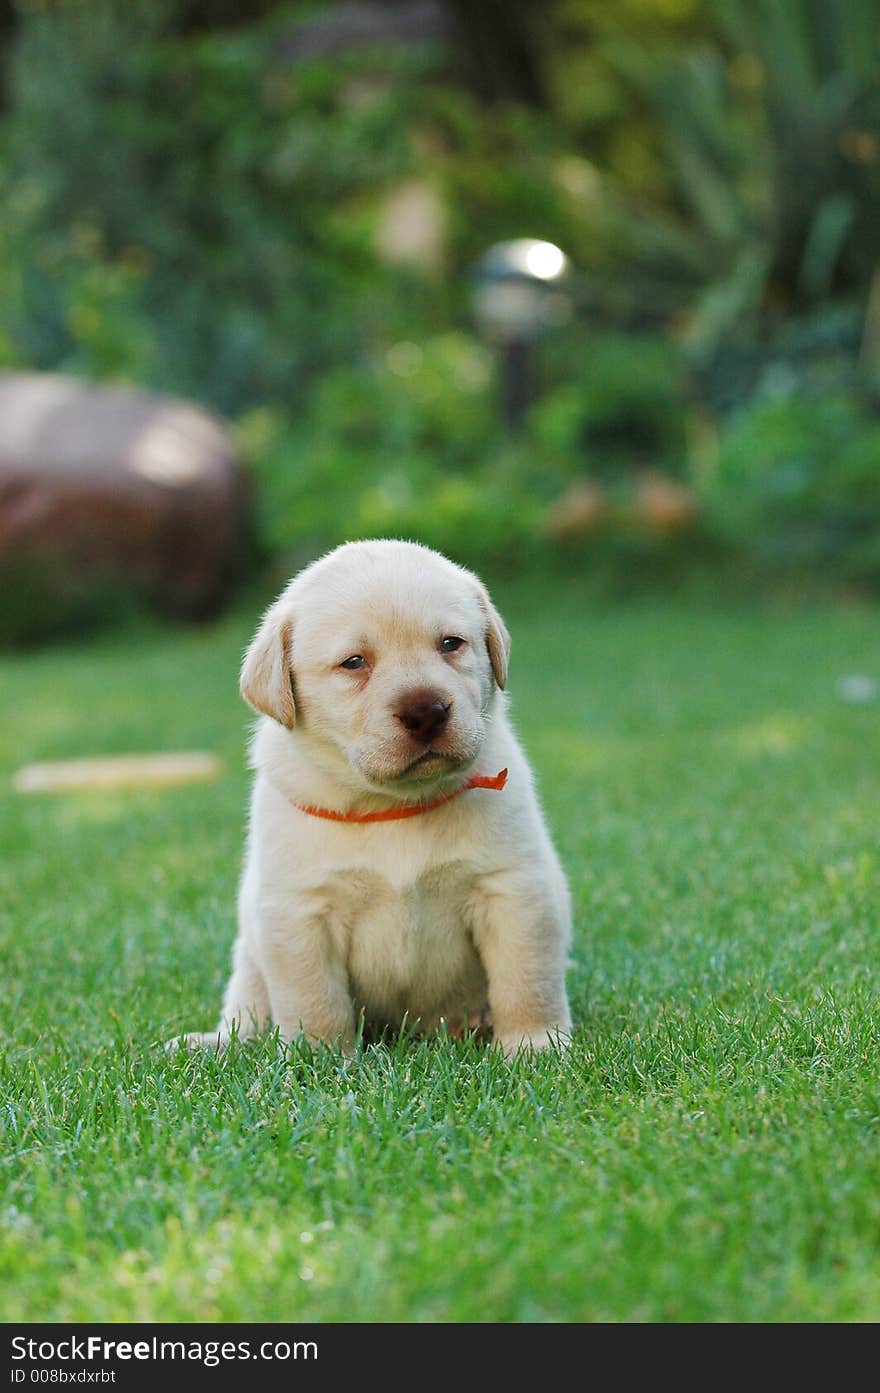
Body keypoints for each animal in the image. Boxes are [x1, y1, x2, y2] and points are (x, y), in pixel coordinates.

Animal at [178, 540, 570, 1053]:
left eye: (451, 644)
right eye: (354, 662)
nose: (426, 711)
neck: (393, 803)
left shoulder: (513, 888)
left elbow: (526, 980)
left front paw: (535, 1046)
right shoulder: (300, 912)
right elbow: (315, 1001)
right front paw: (320, 1059)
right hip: (250, 956)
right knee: (248, 1008)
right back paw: (220, 1043)